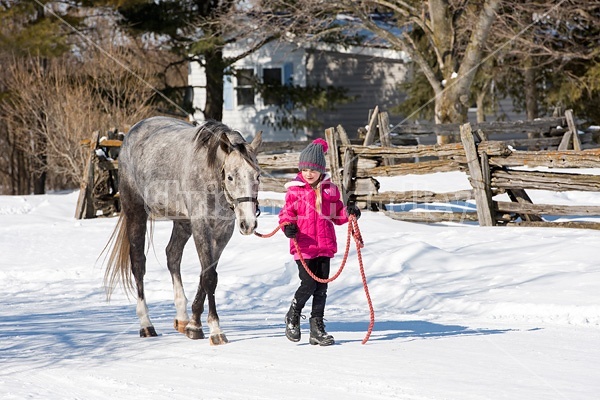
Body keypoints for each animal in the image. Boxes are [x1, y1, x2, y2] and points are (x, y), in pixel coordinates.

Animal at [103, 116, 262, 344]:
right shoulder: (201, 226)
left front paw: (194, 325)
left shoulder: (223, 231)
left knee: (173, 255)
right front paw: (215, 330)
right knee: (138, 264)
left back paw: (182, 318)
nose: (249, 223)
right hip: (136, 212)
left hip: (181, 222)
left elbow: (207, 275)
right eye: (231, 177)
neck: (209, 172)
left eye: (257, 176)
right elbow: (209, 278)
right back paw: (146, 324)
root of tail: (134, 130)